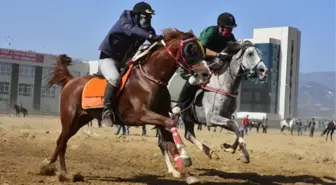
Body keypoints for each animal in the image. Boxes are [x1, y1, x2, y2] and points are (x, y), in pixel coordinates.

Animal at [39, 28, 211, 184]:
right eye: (191, 49)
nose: (206, 73)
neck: (150, 79)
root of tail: (70, 80)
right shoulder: (138, 115)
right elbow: (170, 124)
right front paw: (186, 157)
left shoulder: (160, 115)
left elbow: (170, 142)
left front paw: (187, 175)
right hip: (69, 119)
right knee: (61, 142)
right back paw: (61, 171)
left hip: (80, 120)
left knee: (62, 142)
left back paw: (52, 166)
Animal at [161, 40, 270, 178]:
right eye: (250, 53)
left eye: (261, 54)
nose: (264, 71)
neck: (222, 85)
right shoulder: (212, 118)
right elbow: (234, 125)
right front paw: (244, 155)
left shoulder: (224, 117)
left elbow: (238, 129)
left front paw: (228, 147)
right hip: (172, 116)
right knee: (164, 141)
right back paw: (174, 168)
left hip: (188, 118)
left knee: (188, 135)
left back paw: (209, 153)